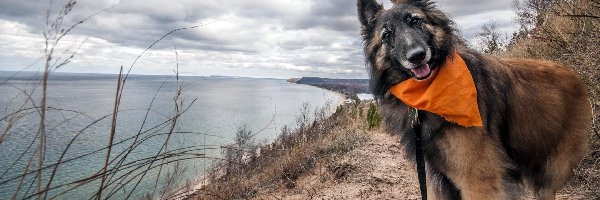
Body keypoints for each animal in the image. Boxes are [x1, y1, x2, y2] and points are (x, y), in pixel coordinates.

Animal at [356, 0, 592, 199]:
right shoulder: (435, 180)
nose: (417, 56)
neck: (427, 94)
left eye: (415, 20)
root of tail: (576, 76)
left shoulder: (478, 180)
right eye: (387, 34)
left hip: (548, 174)